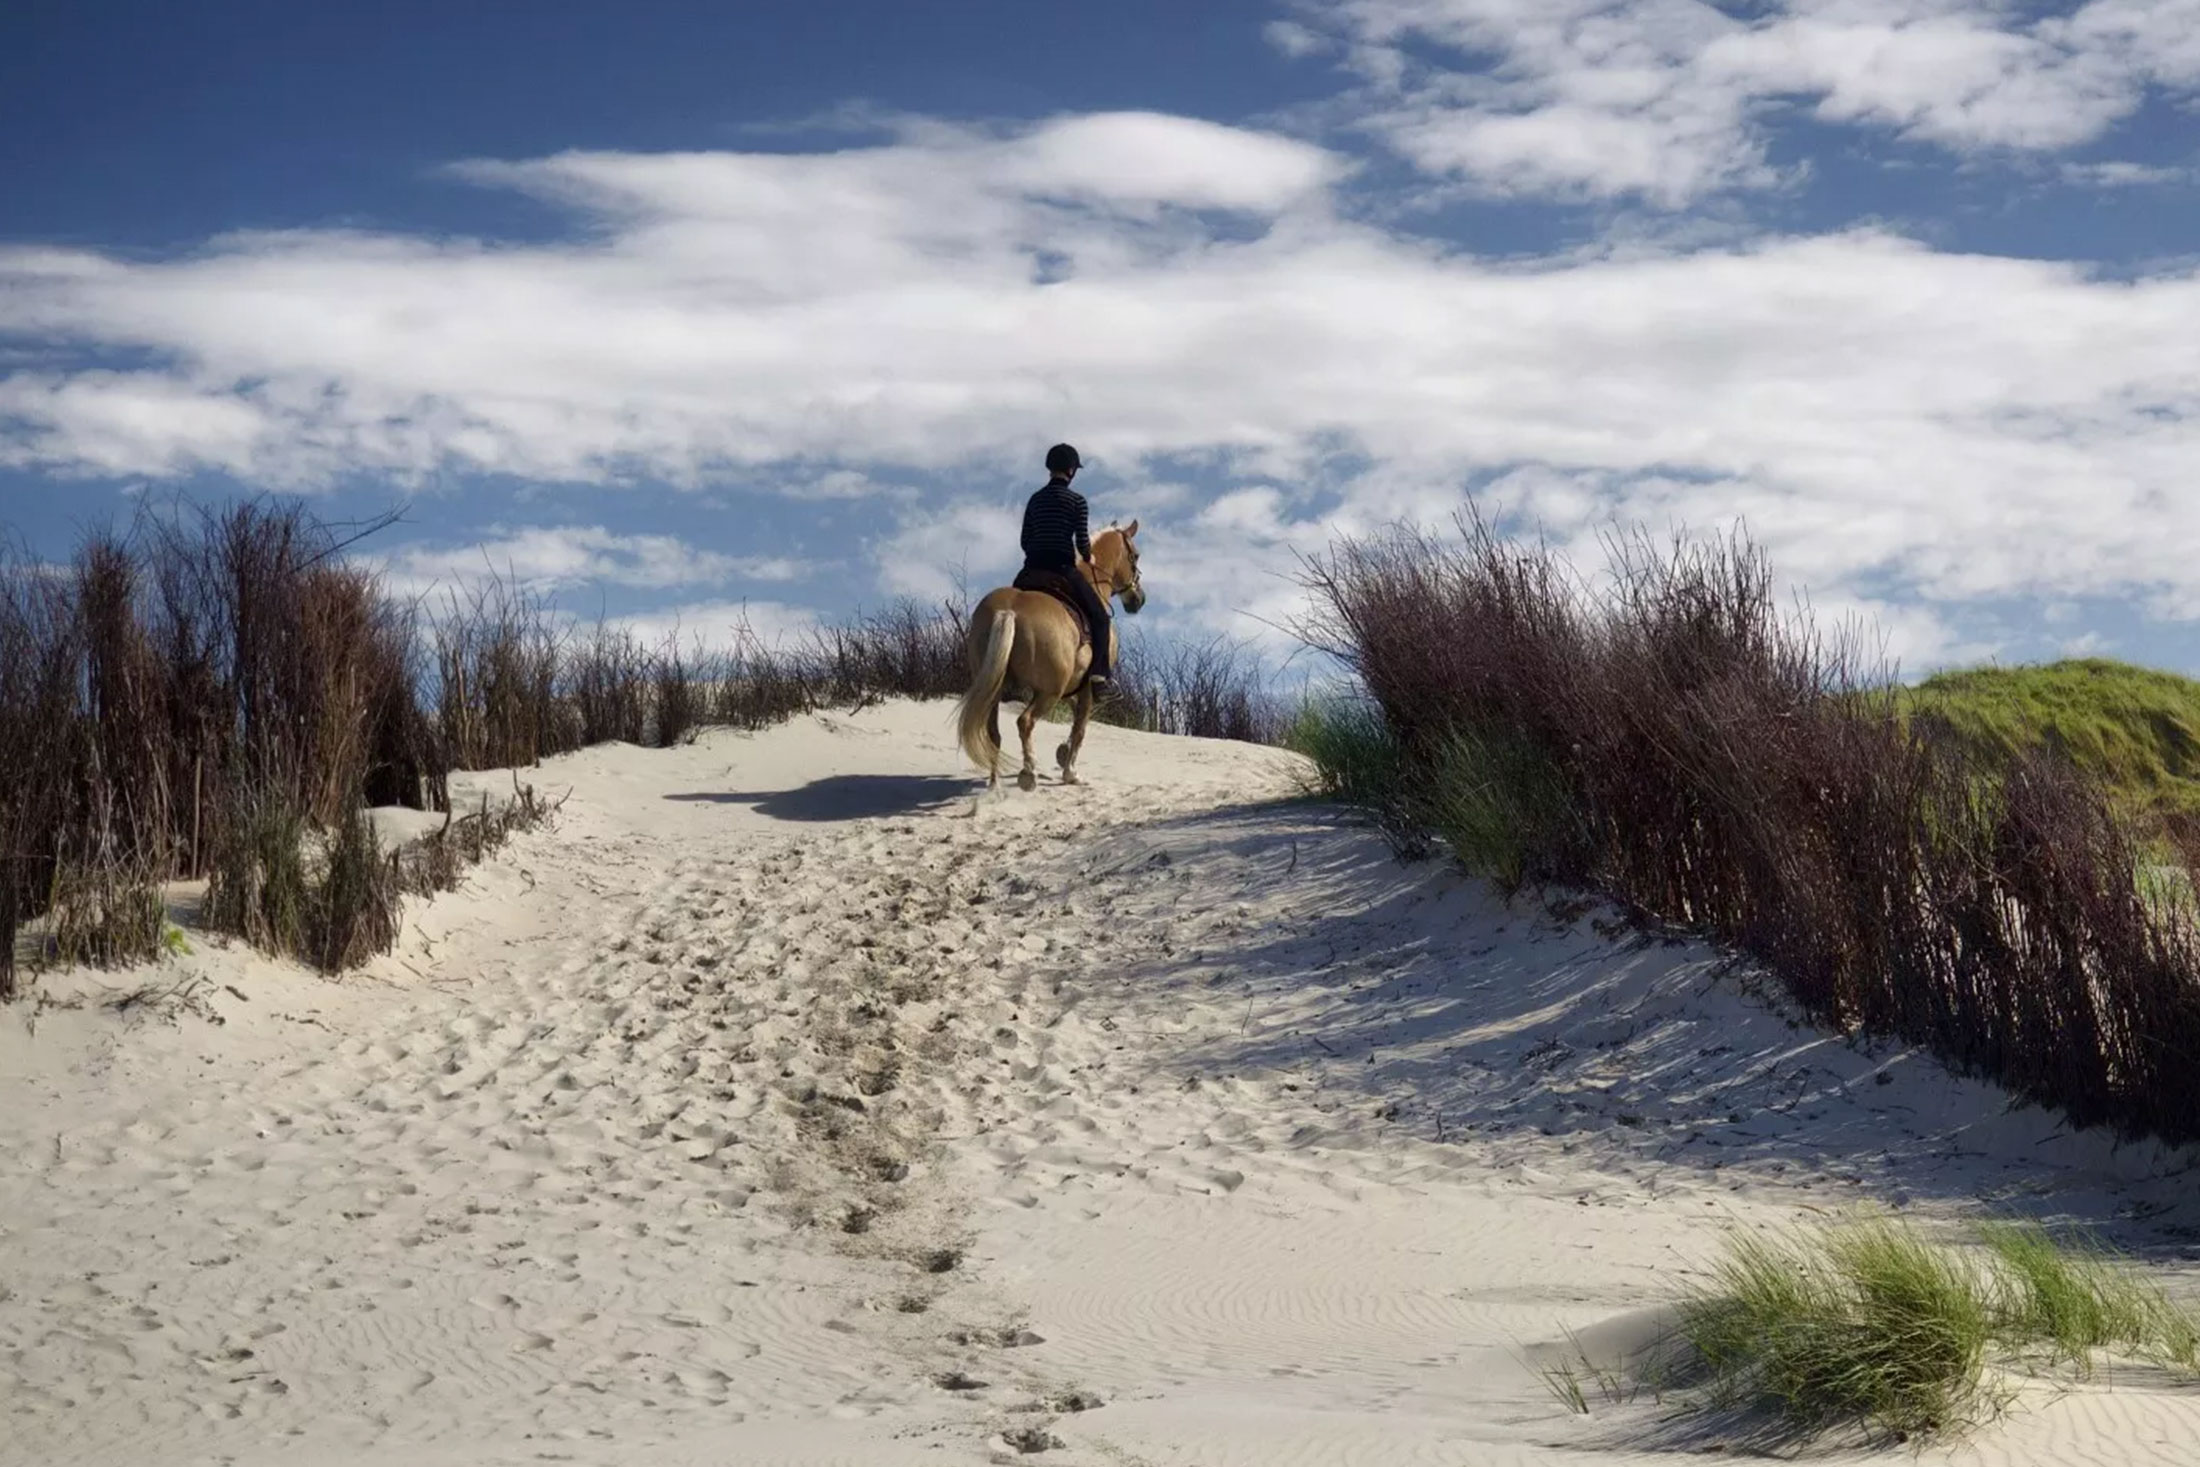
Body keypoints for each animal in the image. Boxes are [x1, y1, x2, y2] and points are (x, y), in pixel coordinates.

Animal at [954, 521, 1152, 787]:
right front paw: (1071, 772)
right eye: (1136, 555)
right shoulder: (1087, 686)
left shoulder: (1070, 682)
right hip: (1048, 692)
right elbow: (1080, 727)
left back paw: (995, 783)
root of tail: (1009, 611)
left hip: (999, 687)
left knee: (993, 732)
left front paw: (1063, 752)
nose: (1138, 599)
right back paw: (1029, 773)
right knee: (1025, 721)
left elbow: (1074, 713)